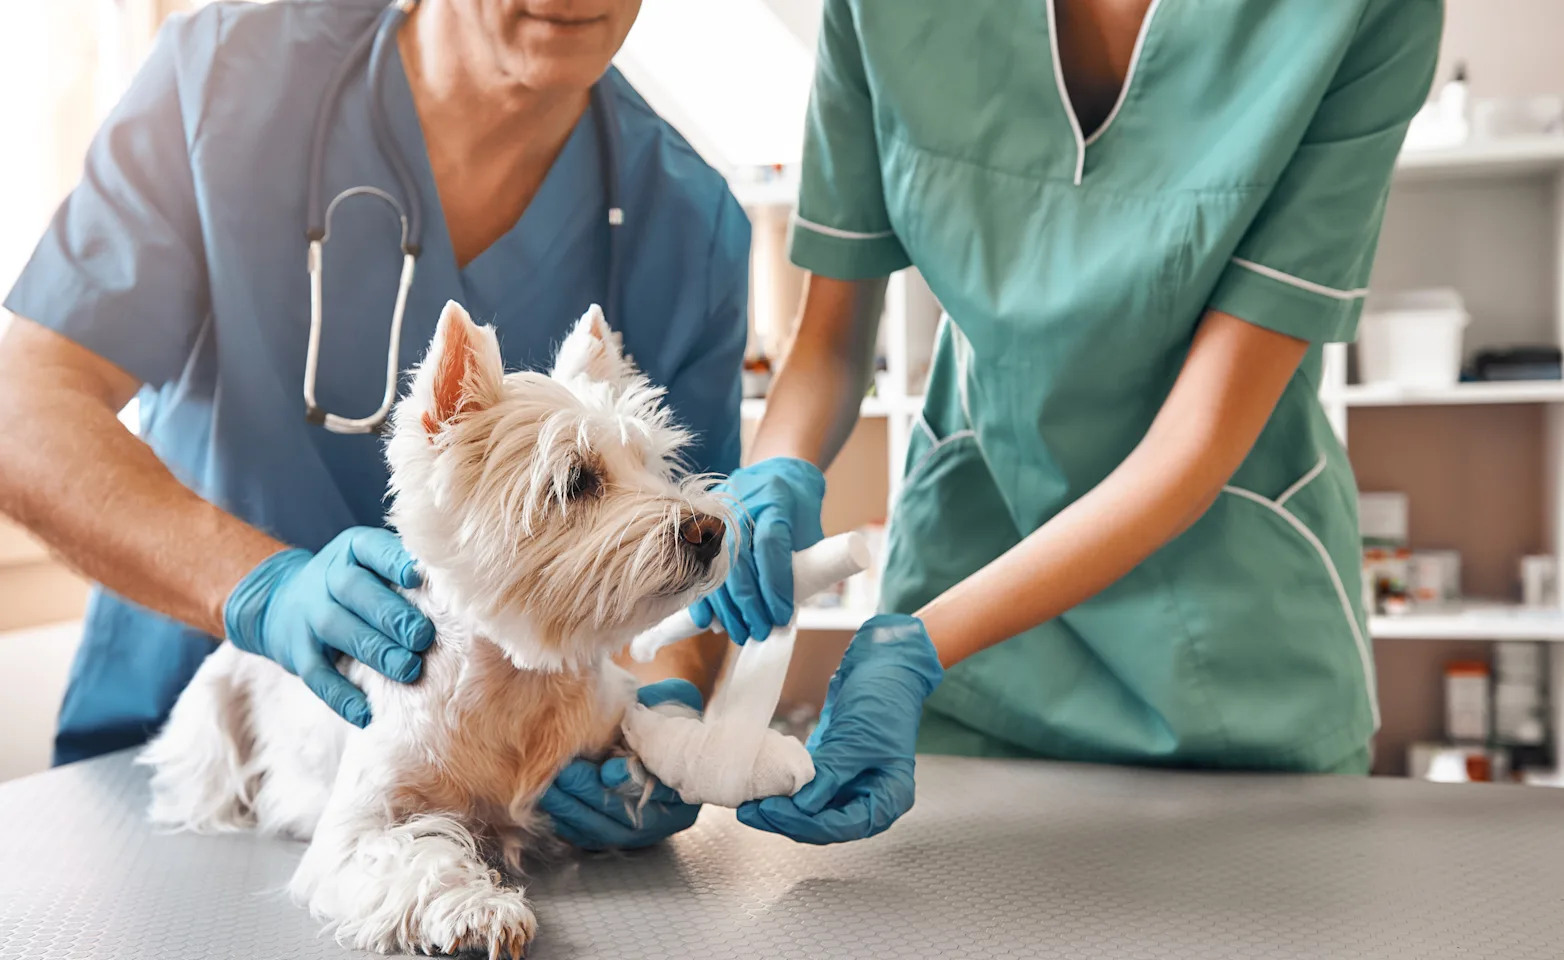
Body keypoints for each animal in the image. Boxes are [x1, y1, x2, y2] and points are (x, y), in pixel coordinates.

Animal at [137, 298, 728, 956]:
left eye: (652, 465)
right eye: (576, 481)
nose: (710, 530)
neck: (518, 685)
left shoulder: (608, 713)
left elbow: (654, 728)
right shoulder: (356, 831)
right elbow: (417, 859)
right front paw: (481, 911)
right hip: (212, 722)